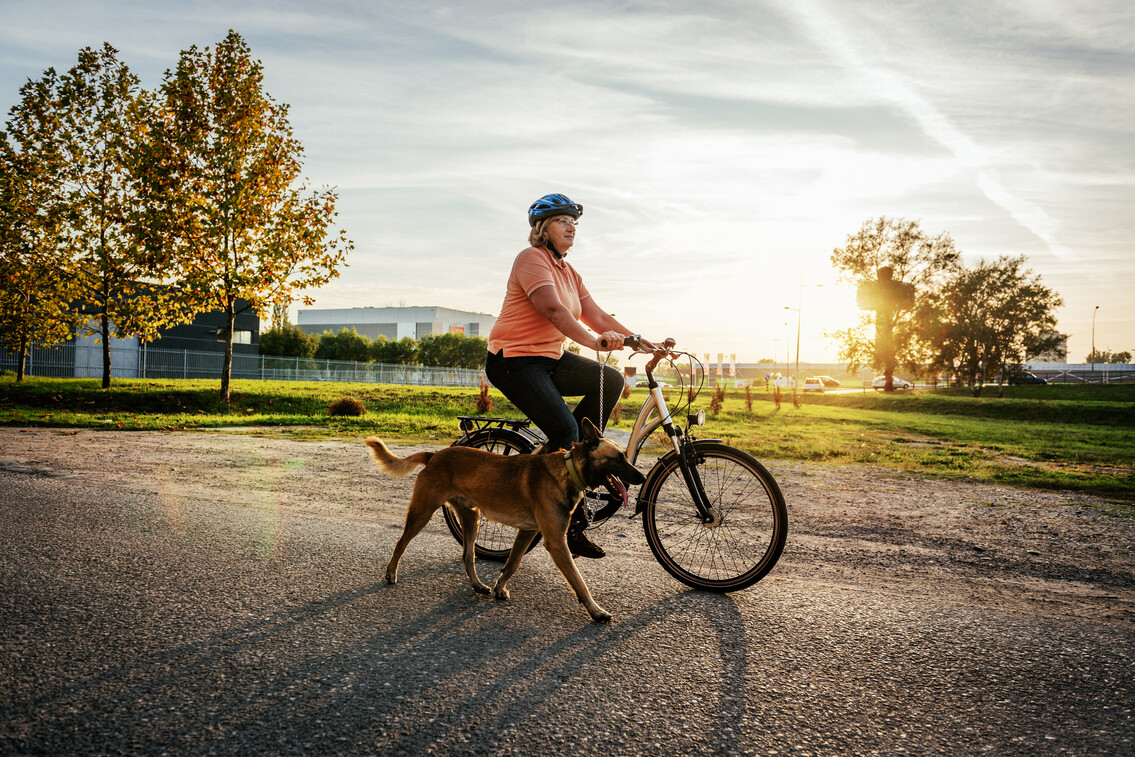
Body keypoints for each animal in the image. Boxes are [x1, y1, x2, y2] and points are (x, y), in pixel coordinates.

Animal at [367, 419, 644, 621]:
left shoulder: (527, 532)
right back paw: (391, 573)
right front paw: (596, 611)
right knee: (401, 542)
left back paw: (478, 585)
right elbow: (579, 582)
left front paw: (500, 588)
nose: (641, 478)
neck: (568, 470)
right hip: (422, 512)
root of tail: (435, 454)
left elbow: (512, 563)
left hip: (472, 518)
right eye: (619, 458)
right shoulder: (556, 543)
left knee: (467, 555)